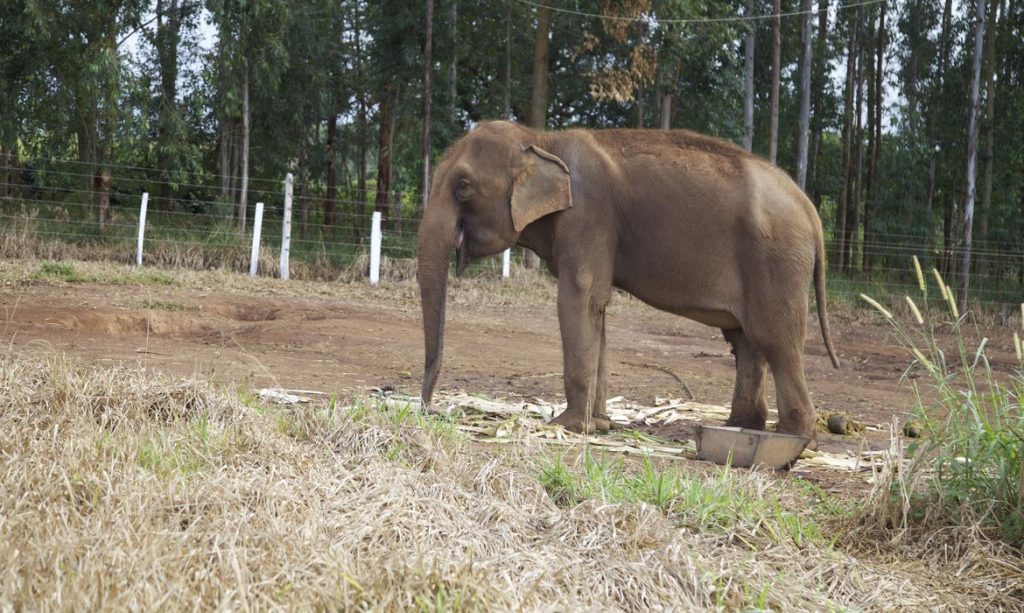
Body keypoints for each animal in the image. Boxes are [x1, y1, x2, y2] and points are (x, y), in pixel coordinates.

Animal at [416, 120, 840, 442]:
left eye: (463, 186)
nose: (427, 410)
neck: (541, 139)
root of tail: (809, 208)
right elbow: (597, 308)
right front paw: (600, 425)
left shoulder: (588, 215)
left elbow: (578, 299)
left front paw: (567, 426)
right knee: (746, 342)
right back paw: (740, 427)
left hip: (776, 261)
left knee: (776, 340)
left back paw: (791, 440)